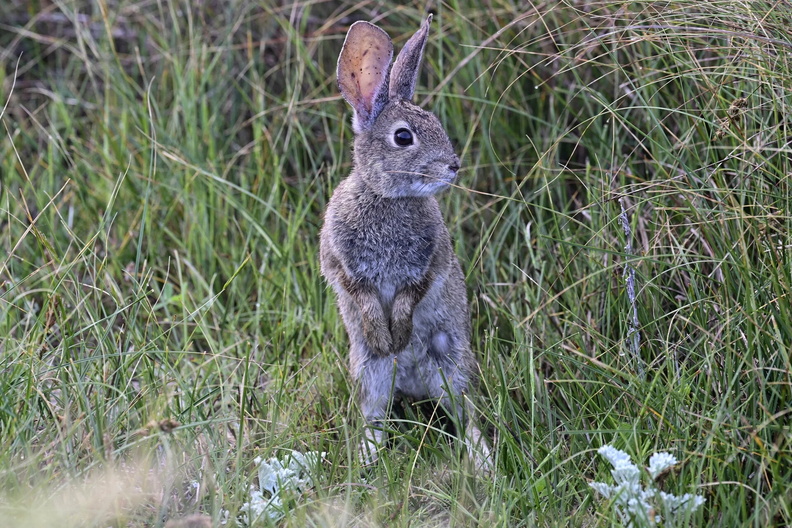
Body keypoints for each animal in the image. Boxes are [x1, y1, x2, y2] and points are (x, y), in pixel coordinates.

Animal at [320, 14, 491, 469]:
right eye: (403, 137)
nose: (453, 166)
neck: (386, 197)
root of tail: (413, 386)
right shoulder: (340, 262)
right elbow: (361, 294)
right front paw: (386, 338)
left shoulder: (429, 262)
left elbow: (412, 293)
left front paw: (397, 332)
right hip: (370, 372)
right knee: (374, 416)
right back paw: (367, 459)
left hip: (451, 366)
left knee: (465, 414)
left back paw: (484, 463)